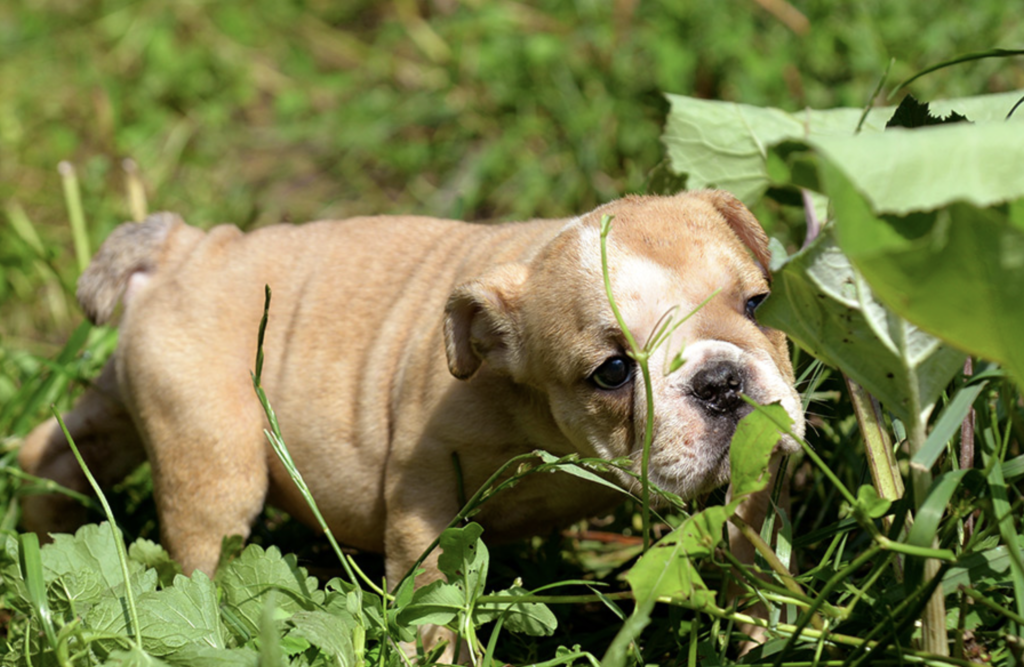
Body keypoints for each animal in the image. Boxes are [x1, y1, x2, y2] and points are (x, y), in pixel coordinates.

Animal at [16, 189, 798, 622]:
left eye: (759, 303)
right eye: (611, 372)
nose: (721, 382)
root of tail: (186, 247)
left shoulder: (754, 477)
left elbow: (752, 549)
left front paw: (762, 626)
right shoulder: (425, 489)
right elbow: (431, 587)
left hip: (131, 396)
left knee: (54, 451)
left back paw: (42, 551)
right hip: (212, 451)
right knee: (206, 545)